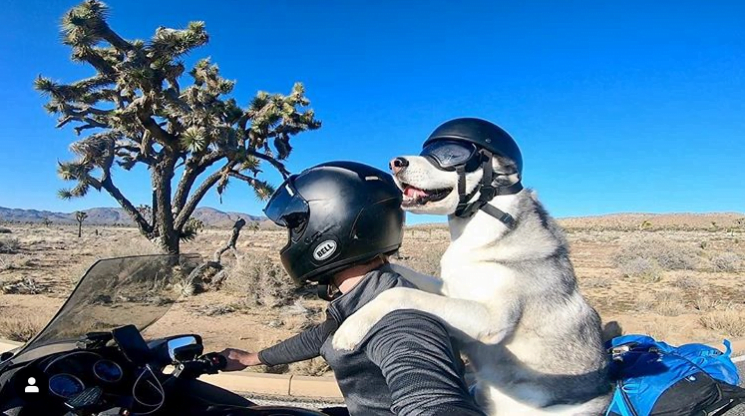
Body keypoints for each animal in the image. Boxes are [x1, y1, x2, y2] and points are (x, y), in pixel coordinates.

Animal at [332, 118, 612, 414]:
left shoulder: (491, 320)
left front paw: (350, 328)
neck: (478, 234)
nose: (394, 163)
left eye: (450, 154)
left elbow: (399, 293)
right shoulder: (450, 289)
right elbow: (408, 275)